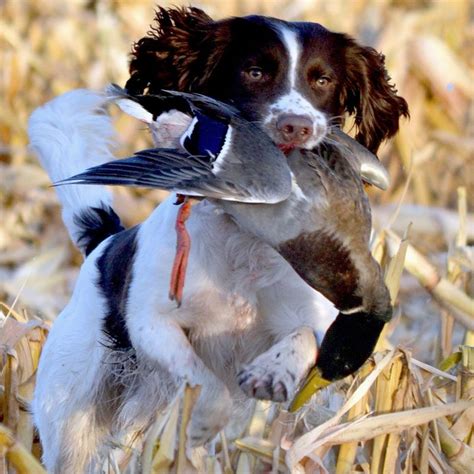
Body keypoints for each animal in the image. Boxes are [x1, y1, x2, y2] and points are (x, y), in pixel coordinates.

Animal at [29, 7, 408, 470]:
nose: (297, 127)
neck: (246, 247)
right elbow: (206, 384)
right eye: (254, 71)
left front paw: (272, 373)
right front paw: (207, 419)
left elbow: (301, 338)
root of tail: (104, 242)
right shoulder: (153, 324)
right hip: (73, 416)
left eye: (323, 80)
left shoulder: (309, 317)